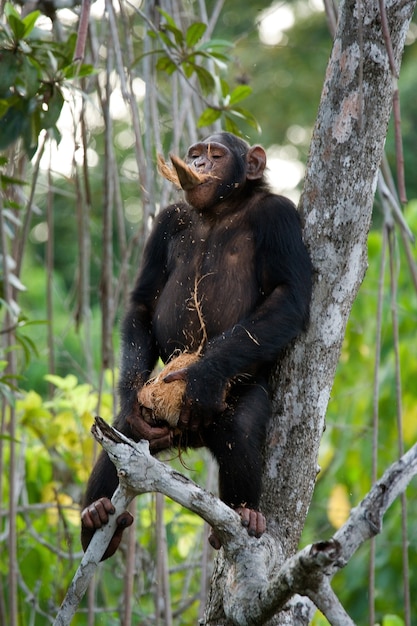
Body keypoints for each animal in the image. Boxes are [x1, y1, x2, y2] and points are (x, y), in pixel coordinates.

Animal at [81, 129, 310, 552]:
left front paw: (200, 379)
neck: (221, 208)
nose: (199, 165)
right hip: (156, 430)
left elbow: (288, 296)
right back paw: (96, 517)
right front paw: (131, 392)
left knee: (239, 430)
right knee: (124, 433)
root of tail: (191, 438)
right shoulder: (165, 222)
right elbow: (143, 301)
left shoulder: (281, 216)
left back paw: (245, 514)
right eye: (194, 154)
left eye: (216, 155)